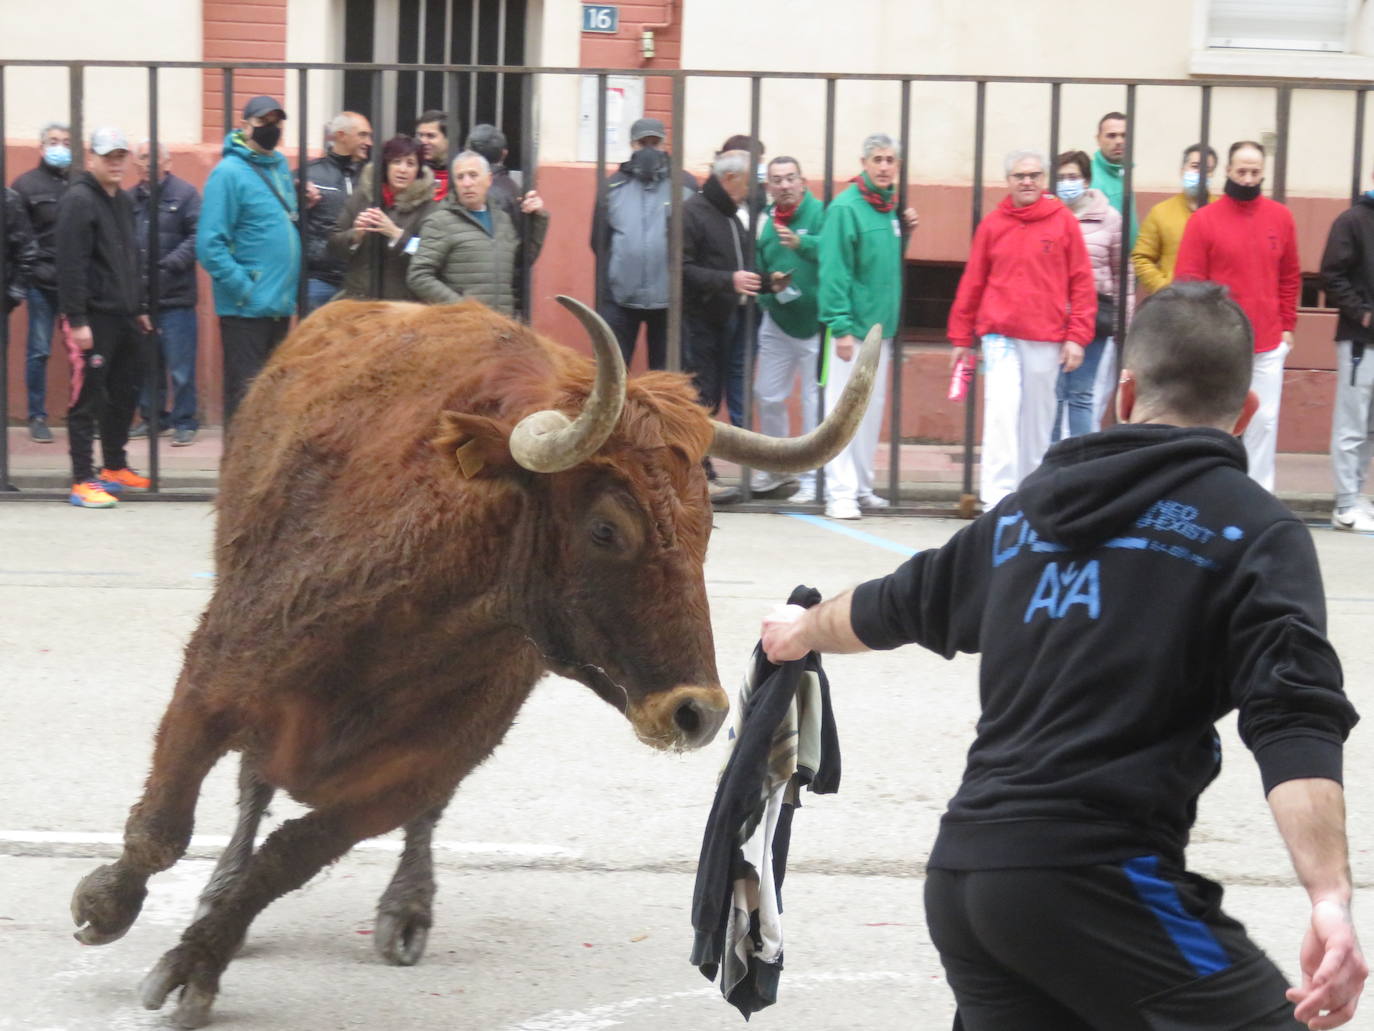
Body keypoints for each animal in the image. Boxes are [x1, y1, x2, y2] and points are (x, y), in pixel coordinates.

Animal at [66, 294, 879, 1028]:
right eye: (607, 527)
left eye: (706, 526)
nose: (697, 712)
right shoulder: (216, 682)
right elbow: (166, 823)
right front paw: (104, 905)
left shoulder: (418, 766)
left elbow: (292, 855)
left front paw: (196, 963)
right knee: (250, 787)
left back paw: (406, 909)